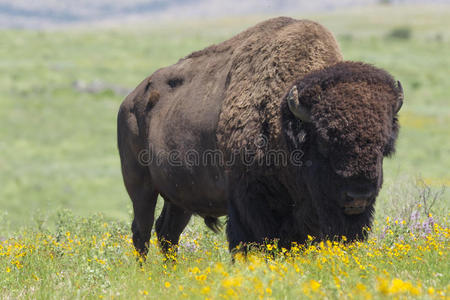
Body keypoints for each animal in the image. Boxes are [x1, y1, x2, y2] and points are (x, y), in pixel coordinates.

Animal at [118, 17, 402, 255]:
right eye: (324, 141)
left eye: (384, 145)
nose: (358, 196)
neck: (286, 121)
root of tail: (129, 101)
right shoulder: (249, 201)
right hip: (140, 187)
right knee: (141, 232)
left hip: (180, 197)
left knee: (168, 232)